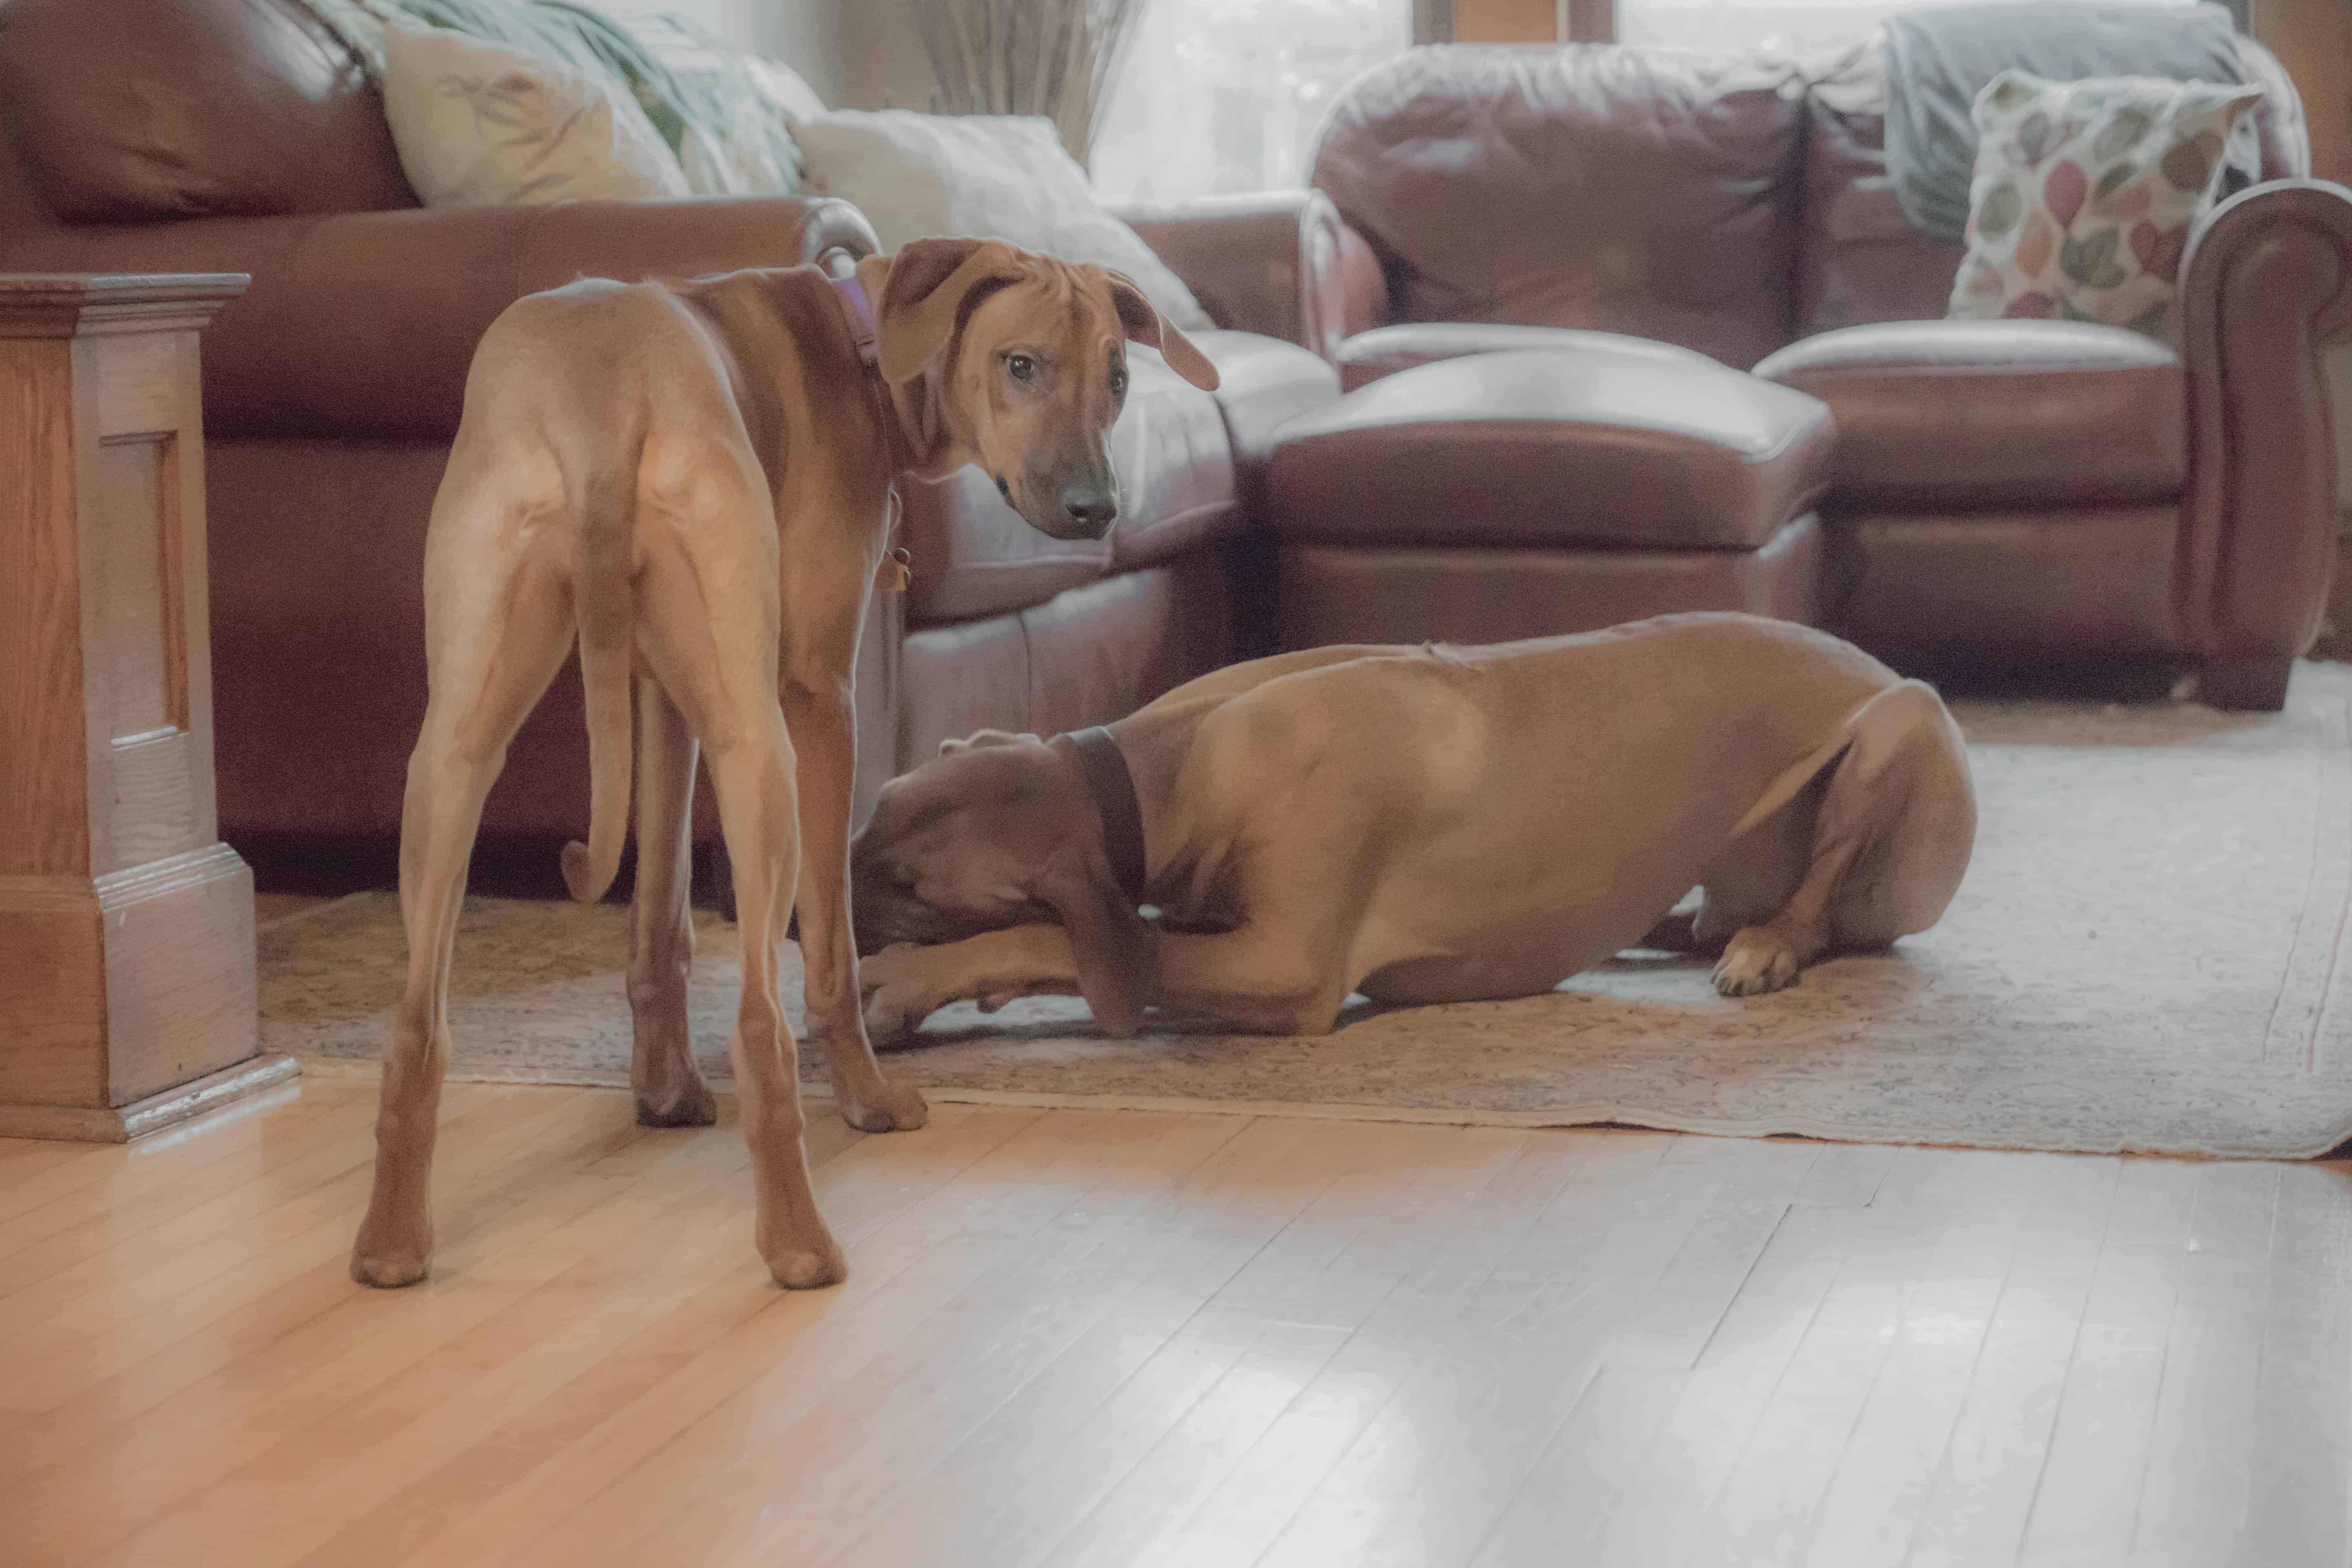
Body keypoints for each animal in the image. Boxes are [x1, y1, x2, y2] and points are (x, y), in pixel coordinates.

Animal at [362, 236, 1232, 1288]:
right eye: (1020, 364)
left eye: (1116, 377)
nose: (1096, 509)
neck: (861, 342)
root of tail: (596, 400)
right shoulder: (820, 697)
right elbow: (831, 945)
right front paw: (866, 1097)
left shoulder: (662, 696)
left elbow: (660, 918)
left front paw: (665, 1090)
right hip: (762, 752)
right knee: (760, 1022)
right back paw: (800, 1244)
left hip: (453, 753)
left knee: (417, 1020)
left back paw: (390, 1246)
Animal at [856, 611, 1976, 1044]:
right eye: (873, 810)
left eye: (913, 886)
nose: (805, 918)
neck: (1168, 766)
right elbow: (1084, 943)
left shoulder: (1287, 967)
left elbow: (1059, 938)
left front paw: (905, 983)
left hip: (1904, 722)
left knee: (1817, 912)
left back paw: (1767, 945)